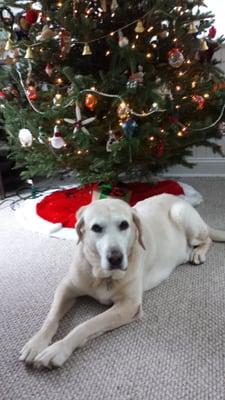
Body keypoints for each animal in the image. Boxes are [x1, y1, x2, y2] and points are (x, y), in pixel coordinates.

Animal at [19, 194, 225, 368]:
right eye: (96, 228)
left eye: (124, 225)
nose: (115, 258)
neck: (102, 275)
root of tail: (177, 198)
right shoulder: (66, 287)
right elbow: (51, 317)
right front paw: (36, 343)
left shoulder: (129, 305)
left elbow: (86, 325)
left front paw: (57, 349)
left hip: (182, 215)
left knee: (207, 240)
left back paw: (197, 253)